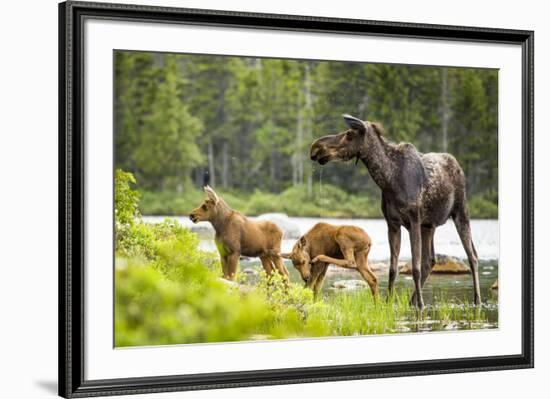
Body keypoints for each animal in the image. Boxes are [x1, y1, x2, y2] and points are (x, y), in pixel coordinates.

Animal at [310, 114, 484, 310]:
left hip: (460, 212)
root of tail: (458, 166)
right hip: (429, 225)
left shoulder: (414, 221)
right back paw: (412, 301)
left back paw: (476, 300)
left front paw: (421, 305)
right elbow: (393, 269)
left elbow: (414, 267)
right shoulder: (392, 223)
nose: (316, 147)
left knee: (472, 256)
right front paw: (388, 301)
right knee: (430, 260)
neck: (389, 181)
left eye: (349, 134)